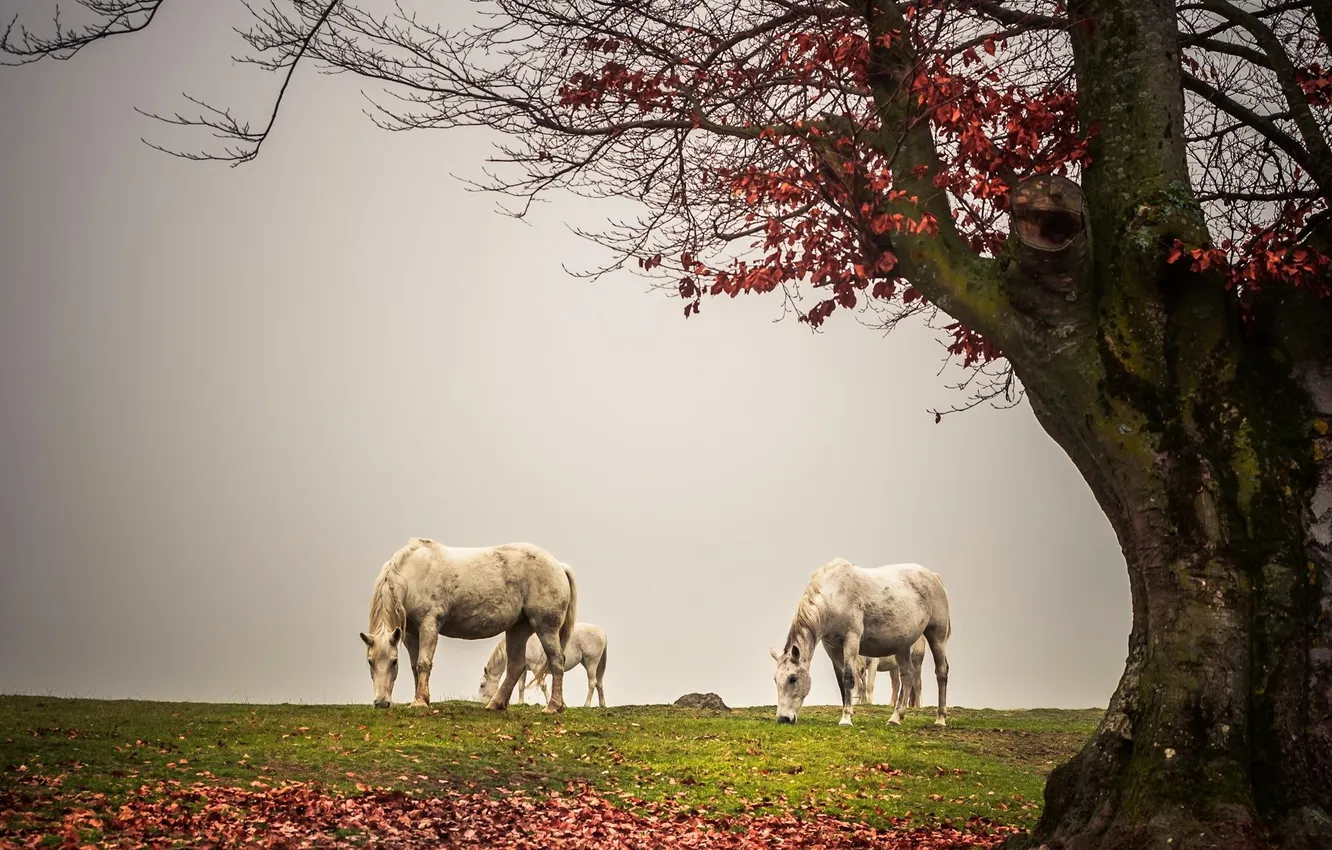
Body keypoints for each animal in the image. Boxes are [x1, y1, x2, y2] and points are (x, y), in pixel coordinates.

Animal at [358, 538, 577, 713]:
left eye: (394, 661)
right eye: (370, 661)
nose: (381, 703)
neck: (413, 576)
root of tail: (558, 565)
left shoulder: (429, 625)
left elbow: (423, 663)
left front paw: (420, 701)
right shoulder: (411, 634)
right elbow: (415, 666)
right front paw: (421, 699)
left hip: (546, 628)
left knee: (556, 661)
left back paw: (553, 707)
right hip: (518, 629)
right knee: (516, 666)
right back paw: (496, 704)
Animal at [477, 622, 609, 708]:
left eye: (482, 685)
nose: (479, 701)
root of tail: (602, 633)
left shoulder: (536, 667)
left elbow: (543, 686)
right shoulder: (524, 669)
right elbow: (520, 686)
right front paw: (521, 703)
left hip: (591, 663)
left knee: (592, 683)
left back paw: (586, 705)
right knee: (599, 683)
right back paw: (602, 705)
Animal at [770, 558, 951, 727]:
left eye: (793, 678)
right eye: (776, 679)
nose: (783, 718)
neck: (834, 594)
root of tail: (934, 576)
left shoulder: (852, 639)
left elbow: (849, 678)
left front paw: (846, 719)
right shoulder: (832, 647)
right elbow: (841, 681)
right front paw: (847, 712)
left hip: (937, 636)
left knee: (941, 671)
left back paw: (940, 719)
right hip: (903, 647)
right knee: (907, 676)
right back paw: (895, 717)